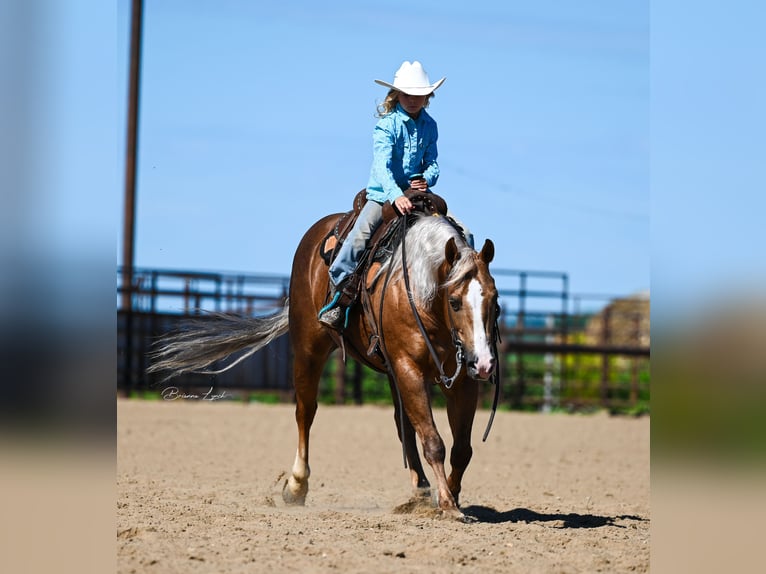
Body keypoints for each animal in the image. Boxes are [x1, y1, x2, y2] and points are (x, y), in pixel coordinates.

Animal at [151, 212, 500, 520]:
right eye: (454, 301)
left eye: (495, 301)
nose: (484, 363)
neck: (419, 292)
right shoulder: (407, 368)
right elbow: (434, 442)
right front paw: (447, 504)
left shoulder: (461, 380)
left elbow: (461, 448)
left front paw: (450, 496)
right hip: (309, 349)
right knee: (306, 411)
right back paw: (296, 486)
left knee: (402, 424)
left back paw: (420, 491)